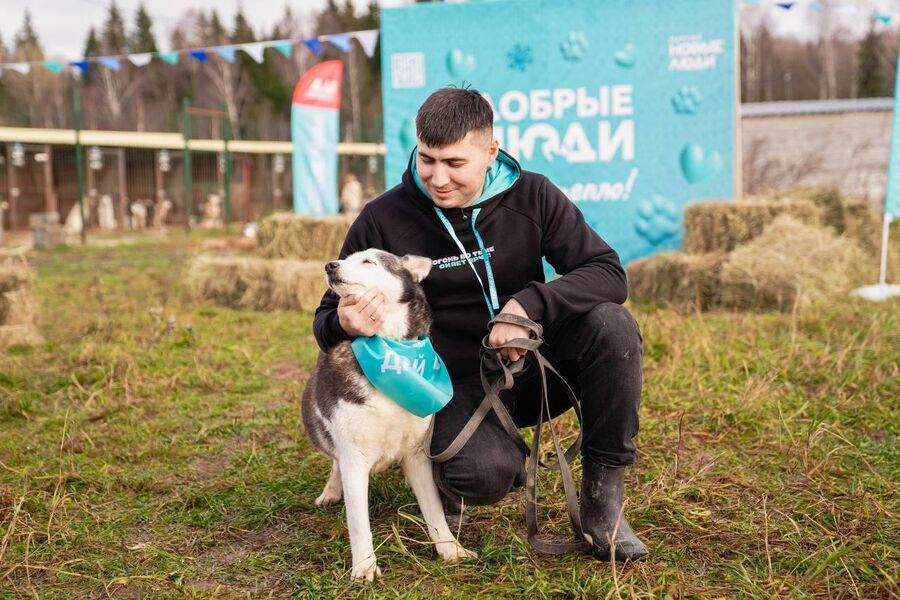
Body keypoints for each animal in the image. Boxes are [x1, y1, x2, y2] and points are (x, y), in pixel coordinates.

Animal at [301, 249, 476, 581]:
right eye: (346, 258)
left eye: (368, 262)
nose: (330, 265)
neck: (390, 350)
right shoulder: (354, 457)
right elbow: (358, 522)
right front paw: (364, 567)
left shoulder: (419, 455)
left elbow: (434, 509)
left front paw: (450, 549)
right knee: (335, 460)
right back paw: (331, 491)